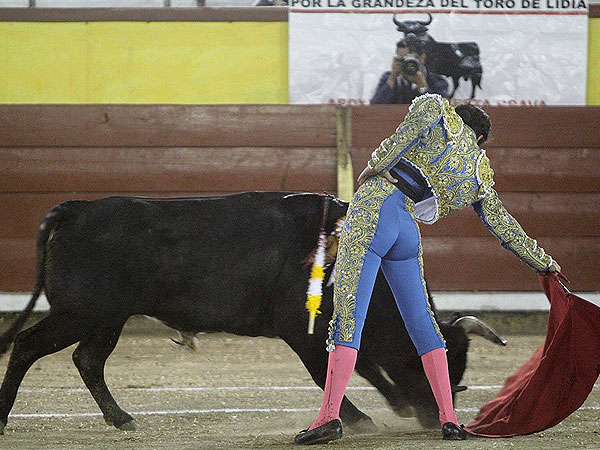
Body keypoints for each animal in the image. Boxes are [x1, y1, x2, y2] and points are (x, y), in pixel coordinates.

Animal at [0, 192, 504, 434]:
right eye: (423, 360)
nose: (432, 416)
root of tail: (77, 209)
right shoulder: (299, 329)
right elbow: (333, 368)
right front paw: (362, 419)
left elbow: (356, 362)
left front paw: (390, 406)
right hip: (80, 312)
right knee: (27, 345)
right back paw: (5, 416)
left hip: (106, 318)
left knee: (87, 360)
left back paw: (121, 418)